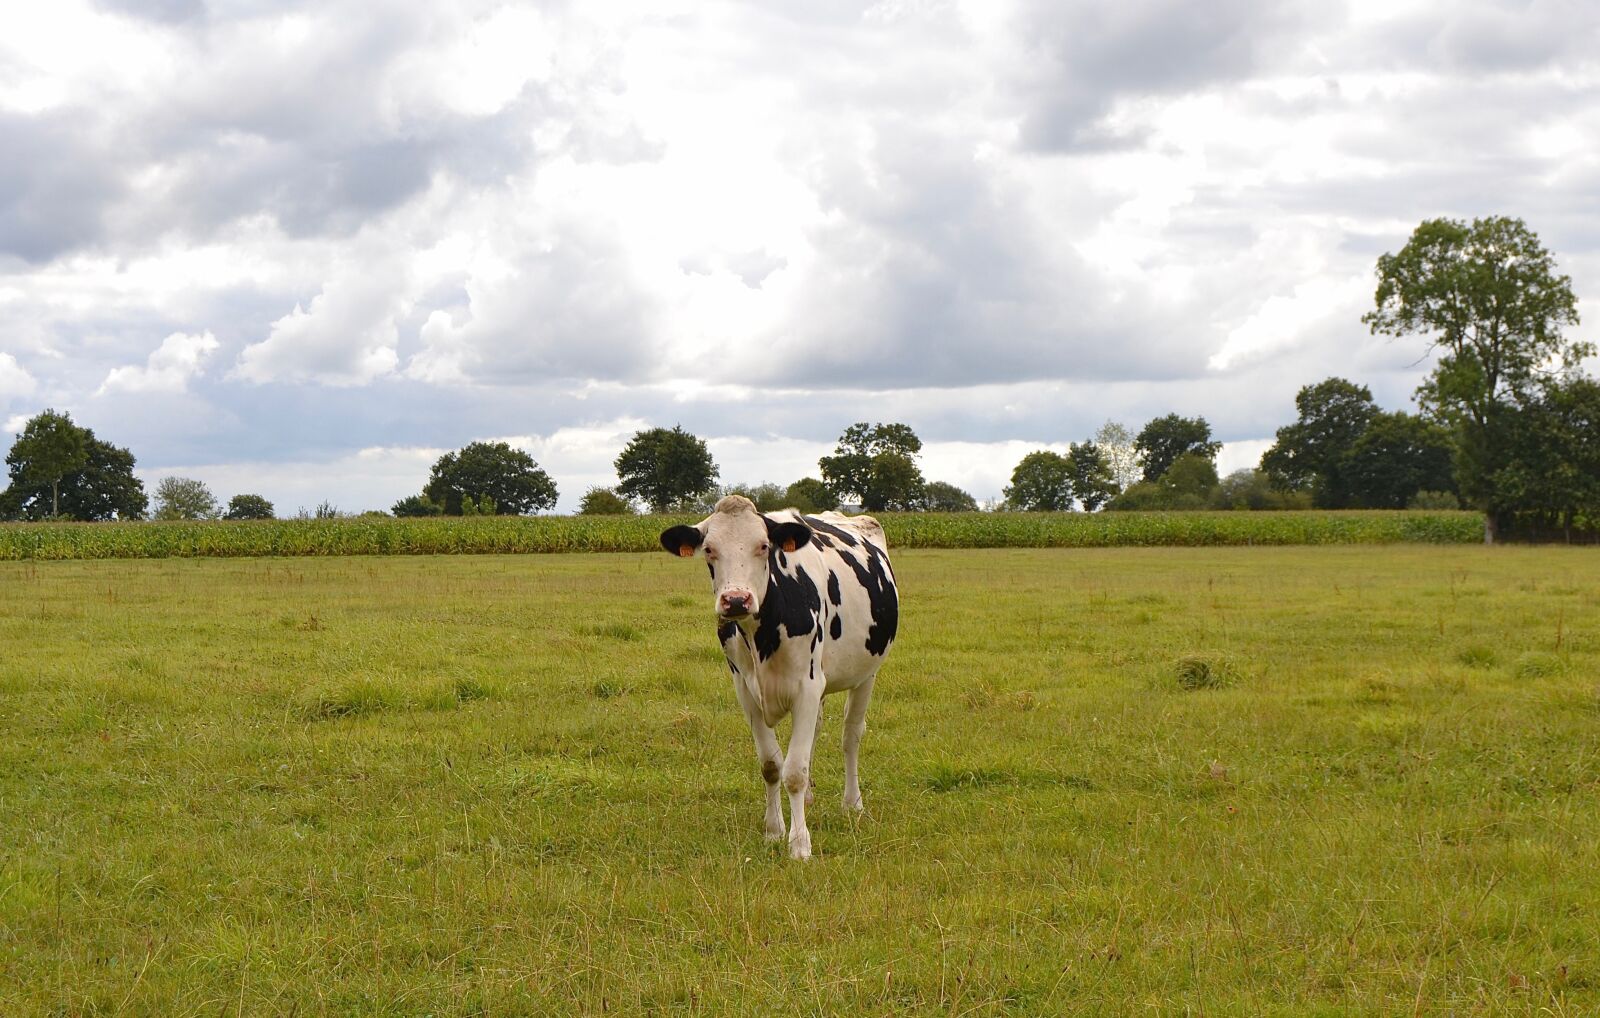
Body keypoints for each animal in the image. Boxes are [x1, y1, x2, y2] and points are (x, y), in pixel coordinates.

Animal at [660, 494, 898, 860]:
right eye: (710, 549)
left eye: (763, 546)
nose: (736, 600)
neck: (762, 634)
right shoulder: (746, 691)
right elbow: (772, 765)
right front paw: (774, 830)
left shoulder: (807, 686)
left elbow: (795, 771)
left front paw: (800, 845)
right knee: (817, 730)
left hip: (866, 673)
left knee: (851, 736)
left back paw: (852, 803)